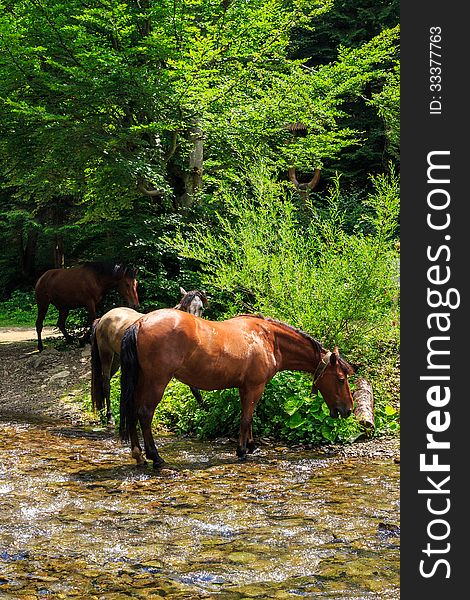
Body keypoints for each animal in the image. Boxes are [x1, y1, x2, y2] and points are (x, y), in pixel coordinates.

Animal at [91, 288, 208, 424]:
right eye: (185, 307)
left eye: (201, 307)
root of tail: (102, 318)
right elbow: (195, 390)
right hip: (106, 355)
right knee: (106, 383)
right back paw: (109, 416)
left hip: (117, 359)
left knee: (102, 381)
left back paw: (101, 412)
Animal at [119, 310, 354, 468]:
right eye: (341, 379)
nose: (348, 410)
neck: (269, 338)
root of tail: (140, 322)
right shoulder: (255, 386)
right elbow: (246, 418)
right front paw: (241, 450)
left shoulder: (246, 388)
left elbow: (248, 417)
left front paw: (250, 445)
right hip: (157, 381)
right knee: (144, 413)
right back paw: (155, 456)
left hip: (141, 380)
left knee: (132, 411)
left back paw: (138, 455)